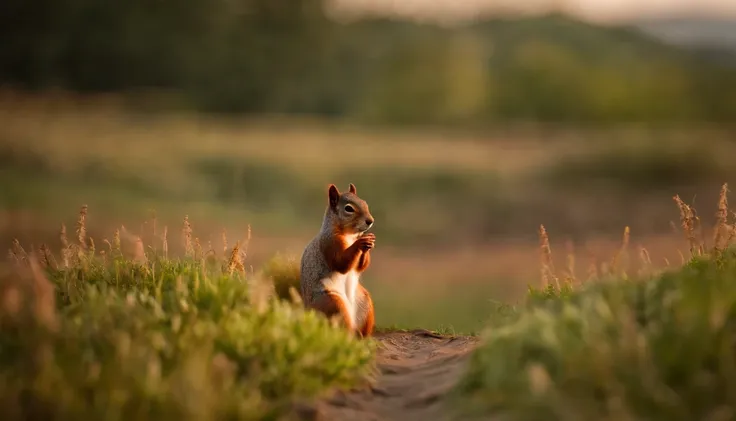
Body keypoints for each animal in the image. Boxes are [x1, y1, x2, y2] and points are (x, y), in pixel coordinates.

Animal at [300, 182, 376, 336]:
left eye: (365, 203)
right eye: (348, 209)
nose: (370, 221)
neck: (349, 235)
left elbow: (360, 266)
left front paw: (368, 242)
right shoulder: (330, 243)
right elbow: (341, 263)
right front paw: (360, 243)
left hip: (365, 302)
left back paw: (363, 336)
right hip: (333, 304)